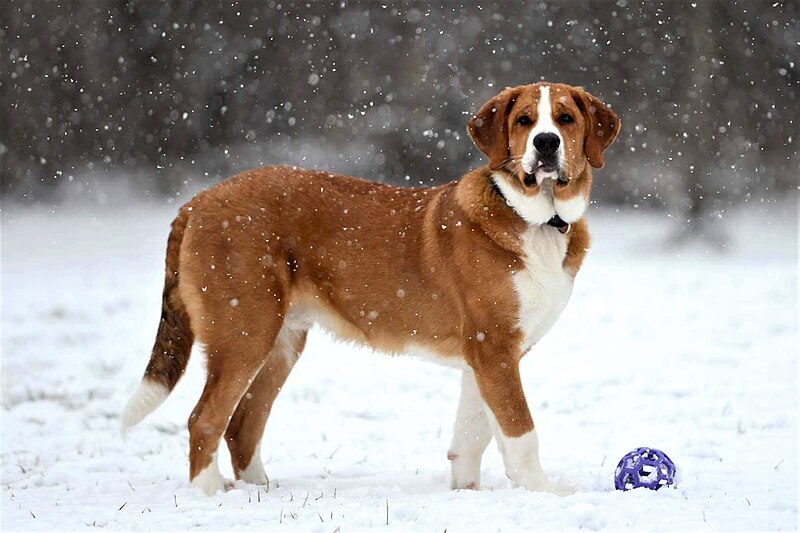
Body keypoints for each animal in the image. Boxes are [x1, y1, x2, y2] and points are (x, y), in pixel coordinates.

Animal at [122, 82, 620, 494]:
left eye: (565, 119)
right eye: (524, 121)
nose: (546, 142)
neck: (538, 220)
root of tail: (198, 201)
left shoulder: (489, 355)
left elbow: (472, 432)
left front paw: (466, 492)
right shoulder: (493, 347)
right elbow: (520, 431)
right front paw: (545, 492)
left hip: (281, 342)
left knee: (242, 423)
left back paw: (260, 491)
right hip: (244, 333)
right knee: (204, 419)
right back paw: (209, 494)